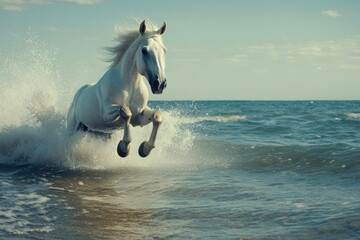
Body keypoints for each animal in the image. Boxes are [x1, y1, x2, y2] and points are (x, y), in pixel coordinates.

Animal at [67, 20, 167, 158]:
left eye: (164, 51)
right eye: (144, 50)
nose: (160, 84)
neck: (130, 86)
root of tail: (78, 94)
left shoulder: (139, 117)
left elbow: (157, 117)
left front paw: (145, 149)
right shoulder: (106, 114)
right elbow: (125, 111)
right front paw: (124, 148)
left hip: (97, 133)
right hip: (73, 129)